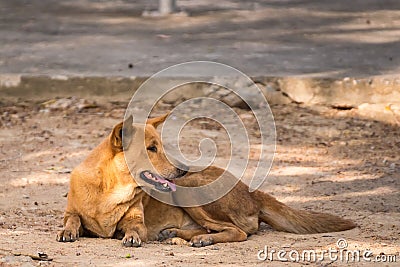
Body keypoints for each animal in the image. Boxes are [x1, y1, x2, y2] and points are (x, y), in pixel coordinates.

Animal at [57, 113, 356, 247]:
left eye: (161, 146)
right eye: (151, 149)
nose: (183, 168)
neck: (109, 189)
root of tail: (250, 189)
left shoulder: (137, 222)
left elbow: (132, 228)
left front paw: (129, 236)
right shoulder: (72, 211)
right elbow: (73, 219)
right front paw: (67, 231)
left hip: (189, 191)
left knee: (239, 232)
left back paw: (200, 240)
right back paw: (179, 236)